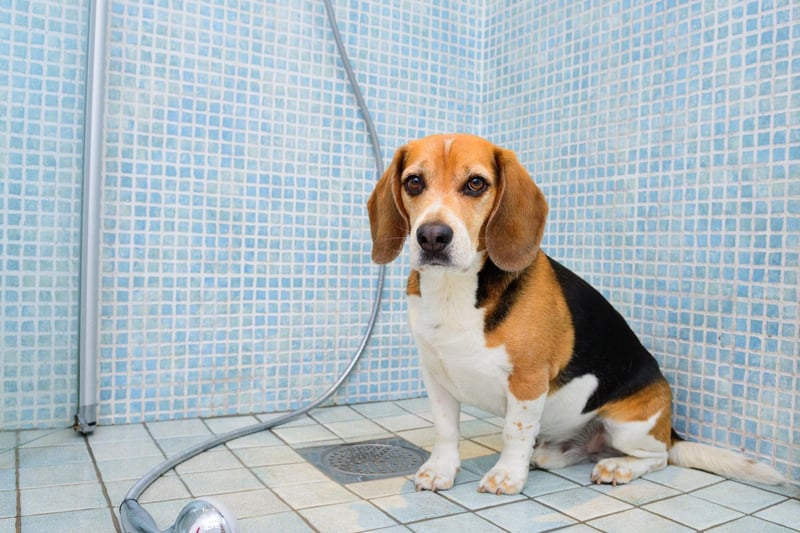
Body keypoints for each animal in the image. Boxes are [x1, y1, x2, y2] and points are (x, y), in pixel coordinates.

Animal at [368, 133, 780, 494]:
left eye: (475, 183)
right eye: (414, 182)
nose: (432, 236)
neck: (456, 291)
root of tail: (670, 428)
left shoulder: (529, 379)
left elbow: (515, 430)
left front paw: (507, 475)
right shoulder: (436, 375)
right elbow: (445, 430)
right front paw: (441, 470)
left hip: (628, 426)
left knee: (657, 457)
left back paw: (617, 467)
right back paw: (551, 454)